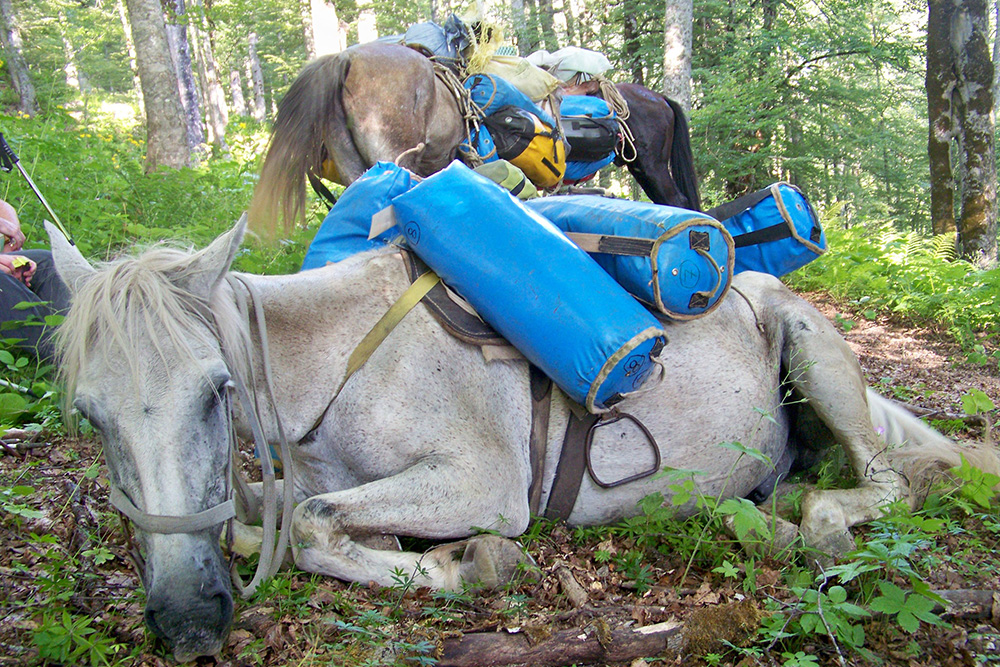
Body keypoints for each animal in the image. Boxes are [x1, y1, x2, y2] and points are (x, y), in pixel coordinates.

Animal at [48, 220, 1000, 664]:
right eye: (89, 414)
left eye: (218, 389)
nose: (186, 620)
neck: (342, 361)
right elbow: (274, 526)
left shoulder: (483, 481)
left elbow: (314, 520)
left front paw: (472, 562)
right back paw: (756, 515)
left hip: (814, 351)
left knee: (890, 482)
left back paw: (811, 525)